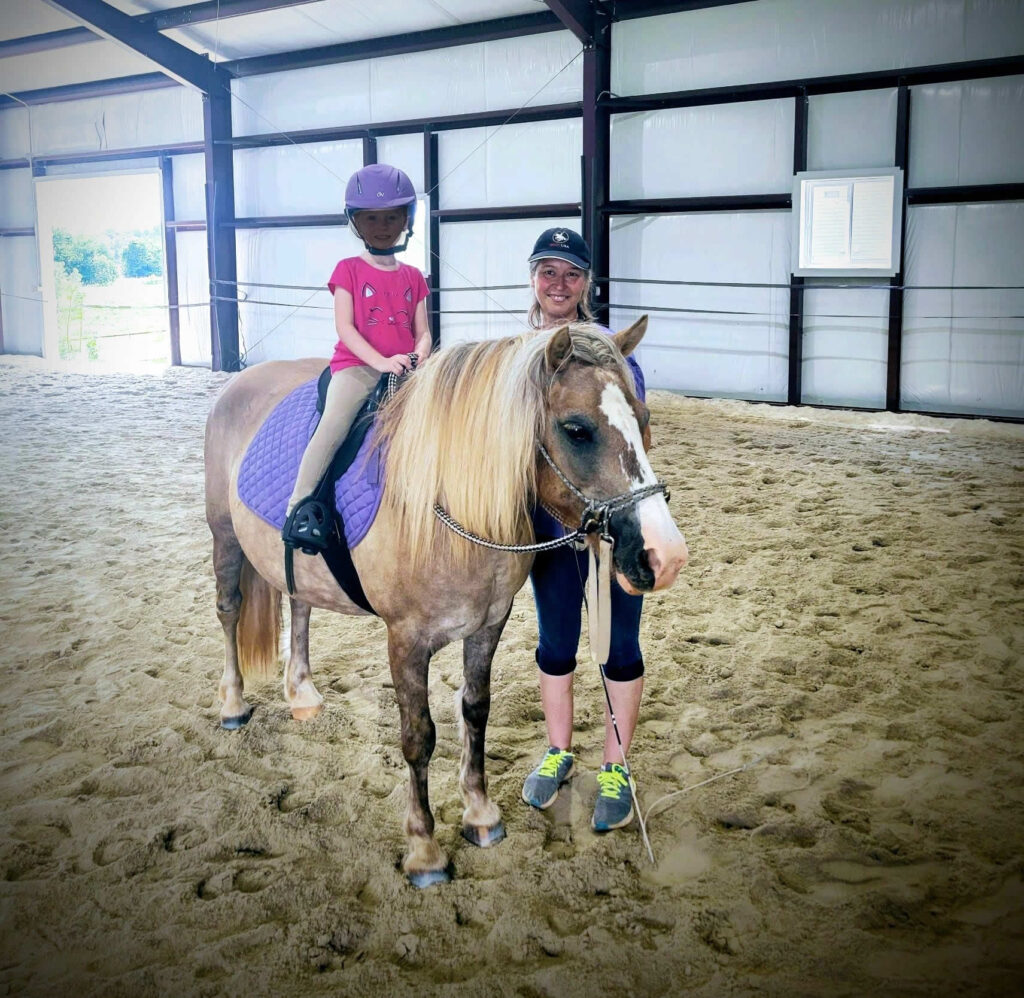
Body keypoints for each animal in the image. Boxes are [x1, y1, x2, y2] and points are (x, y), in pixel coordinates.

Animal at [203, 317, 688, 886]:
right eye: (576, 429)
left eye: (644, 418)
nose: (666, 555)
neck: (446, 505)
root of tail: (240, 382)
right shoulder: (405, 641)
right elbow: (418, 736)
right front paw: (425, 849)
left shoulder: (488, 626)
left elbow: (475, 712)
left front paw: (481, 815)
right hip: (224, 537)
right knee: (229, 609)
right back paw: (233, 704)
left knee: (299, 605)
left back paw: (301, 693)